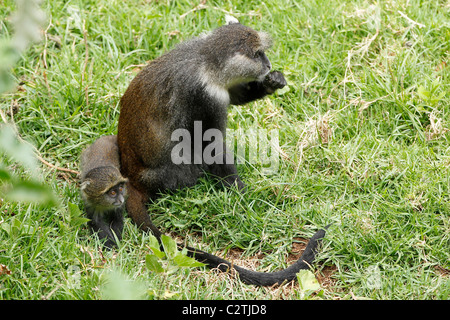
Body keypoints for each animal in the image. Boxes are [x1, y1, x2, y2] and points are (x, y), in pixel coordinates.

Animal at [118, 20, 326, 284]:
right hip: (171, 174)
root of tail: (132, 178)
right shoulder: (204, 96)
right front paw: (241, 192)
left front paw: (272, 82)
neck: (206, 59)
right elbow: (209, 144)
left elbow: (235, 96)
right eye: (257, 54)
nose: (268, 65)